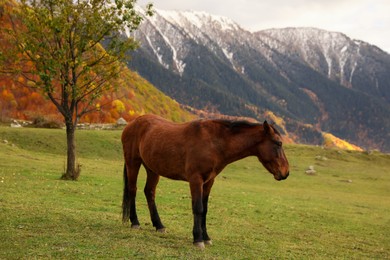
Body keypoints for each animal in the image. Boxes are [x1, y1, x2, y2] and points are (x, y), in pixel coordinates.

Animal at [122, 115, 290, 249]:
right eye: (278, 143)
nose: (286, 172)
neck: (214, 143)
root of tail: (133, 123)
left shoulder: (209, 181)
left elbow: (205, 209)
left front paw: (206, 237)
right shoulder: (196, 180)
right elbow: (198, 208)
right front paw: (198, 239)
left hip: (152, 169)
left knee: (149, 192)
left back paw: (159, 225)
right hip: (133, 163)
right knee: (132, 190)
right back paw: (135, 222)